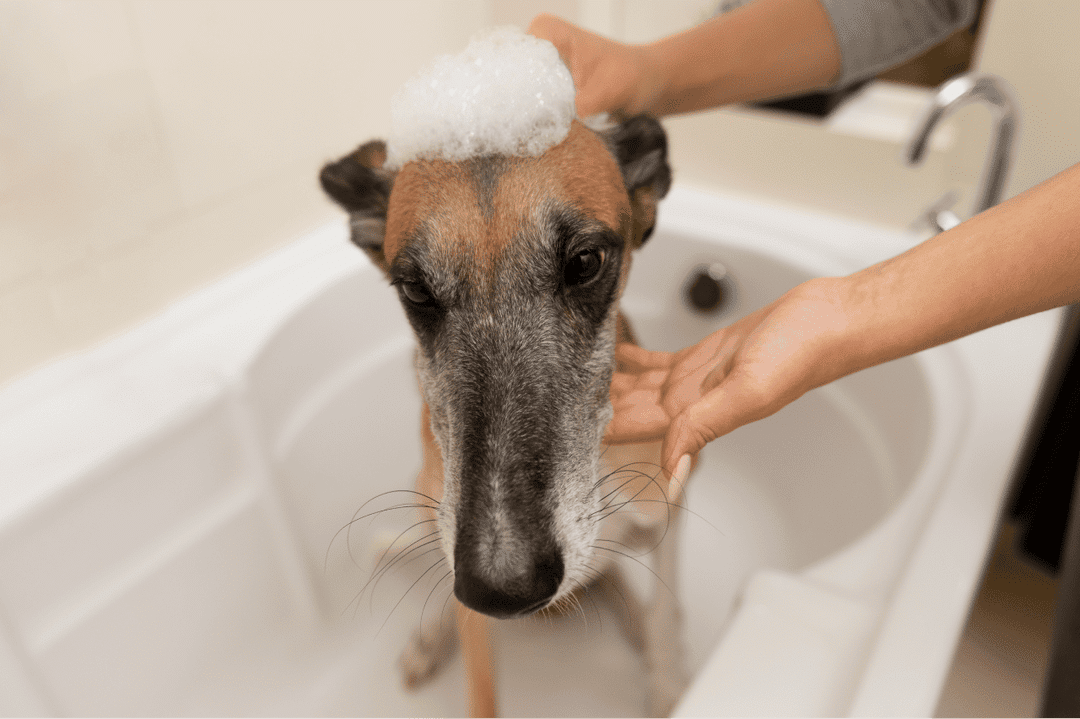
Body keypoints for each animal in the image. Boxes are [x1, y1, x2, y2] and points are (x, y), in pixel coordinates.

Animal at [319, 114, 691, 712]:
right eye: (415, 289)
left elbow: (664, 611)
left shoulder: (672, 501)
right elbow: (480, 682)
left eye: (585, 263)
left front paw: (670, 683)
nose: (502, 584)